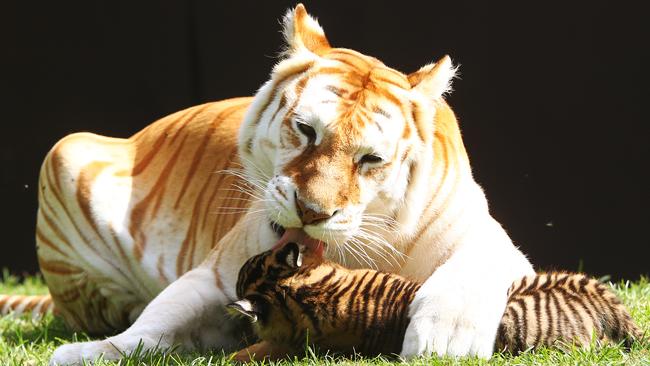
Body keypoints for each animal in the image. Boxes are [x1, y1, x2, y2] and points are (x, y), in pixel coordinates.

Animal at [8, 4, 536, 364]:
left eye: (370, 159)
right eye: (306, 130)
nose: (312, 212)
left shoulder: (491, 241)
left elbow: (473, 268)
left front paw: (446, 339)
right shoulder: (215, 276)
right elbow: (157, 320)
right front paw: (90, 353)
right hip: (66, 151)